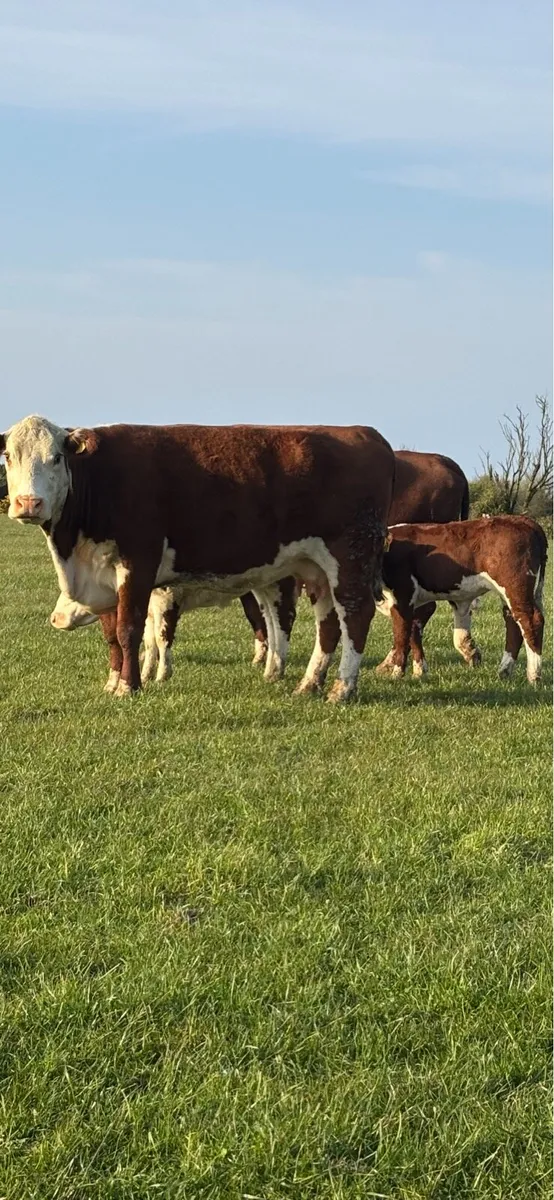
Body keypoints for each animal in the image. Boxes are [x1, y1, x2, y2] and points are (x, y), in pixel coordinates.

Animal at [2, 415, 395, 702]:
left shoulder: (138, 562)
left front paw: (129, 687)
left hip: (350, 555)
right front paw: (113, 682)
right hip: (315, 568)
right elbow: (113, 634)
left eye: (56, 457)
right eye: (9, 457)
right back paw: (309, 683)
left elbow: (130, 629)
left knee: (355, 615)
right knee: (327, 622)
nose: (28, 503)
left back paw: (342, 689)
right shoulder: (104, 576)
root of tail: (365, 433)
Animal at [374, 515, 547, 683]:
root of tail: (523, 520)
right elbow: (413, 632)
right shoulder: (413, 602)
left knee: (530, 621)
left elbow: (401, 634)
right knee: (513, 623)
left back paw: (533, 676)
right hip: (512, 593)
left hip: (515, 587)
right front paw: (419, 671)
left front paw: (397, 673)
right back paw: (504, 671)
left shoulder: (403, 597)